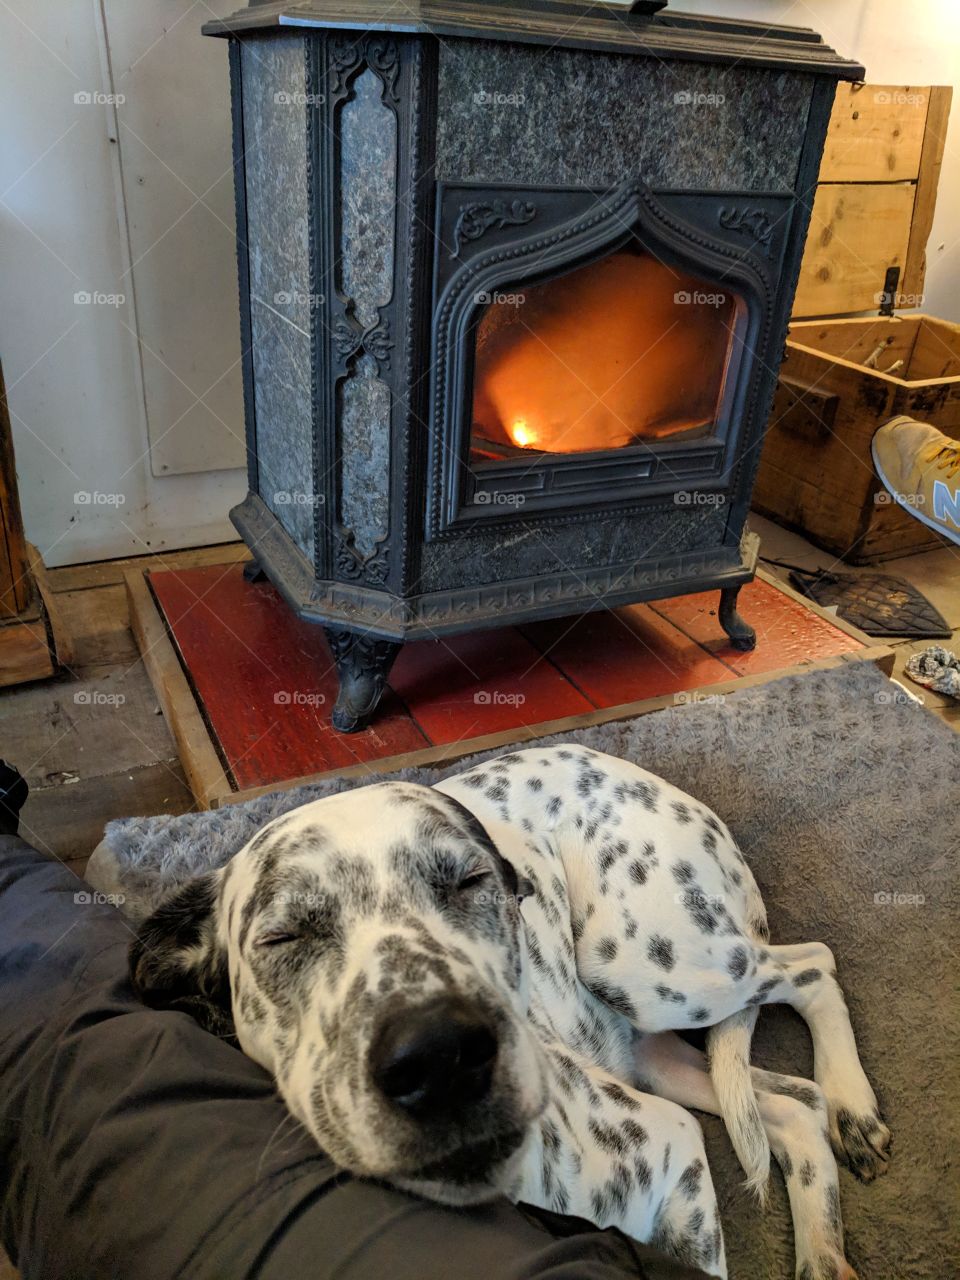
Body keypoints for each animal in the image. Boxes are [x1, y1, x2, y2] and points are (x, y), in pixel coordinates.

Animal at [131, 747, 890, 1274]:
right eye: (283, 936)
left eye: (471, 880)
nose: (440, 1058)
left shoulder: (675, 1156)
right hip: (654, 1049)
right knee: (793, 1105)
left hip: (651, 966)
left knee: (816, 965)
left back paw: (854, 1103)